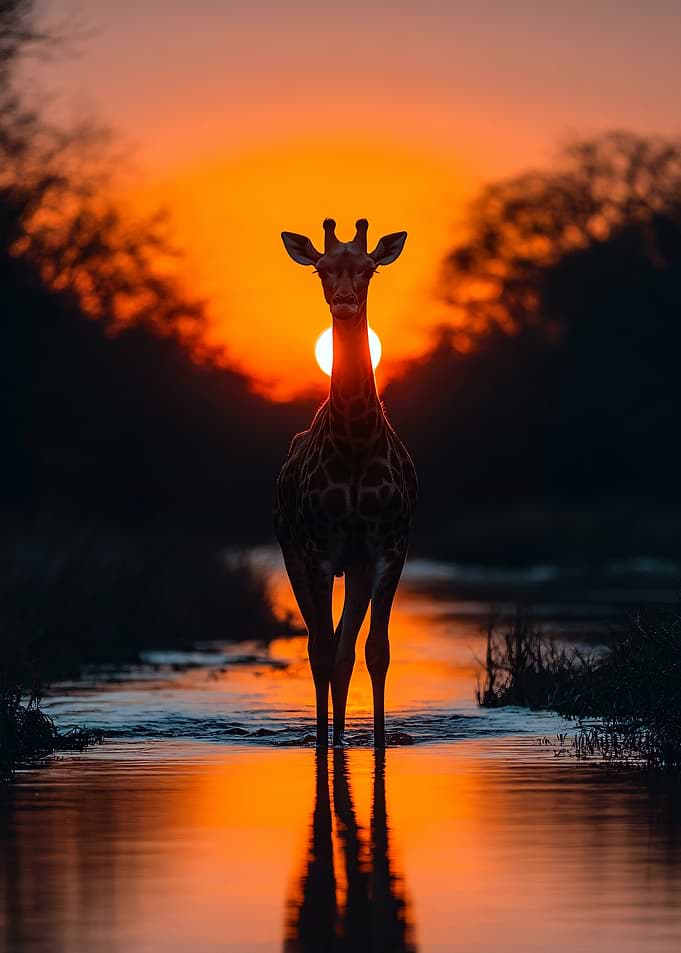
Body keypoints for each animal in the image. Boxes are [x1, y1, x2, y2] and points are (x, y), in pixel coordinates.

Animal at [274, 217, 417, 748]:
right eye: (321, 268)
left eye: (369, 269)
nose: (344, 300)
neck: (355, 441)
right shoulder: (316, 549)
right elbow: (320, 652)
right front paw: (323, 744)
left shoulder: (387, 546)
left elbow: (375, 651)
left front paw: (375, 741)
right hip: (292, 551)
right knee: (324, 646)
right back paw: (330, 738)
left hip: (353, 566)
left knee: (345, 650)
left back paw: (342, 737)